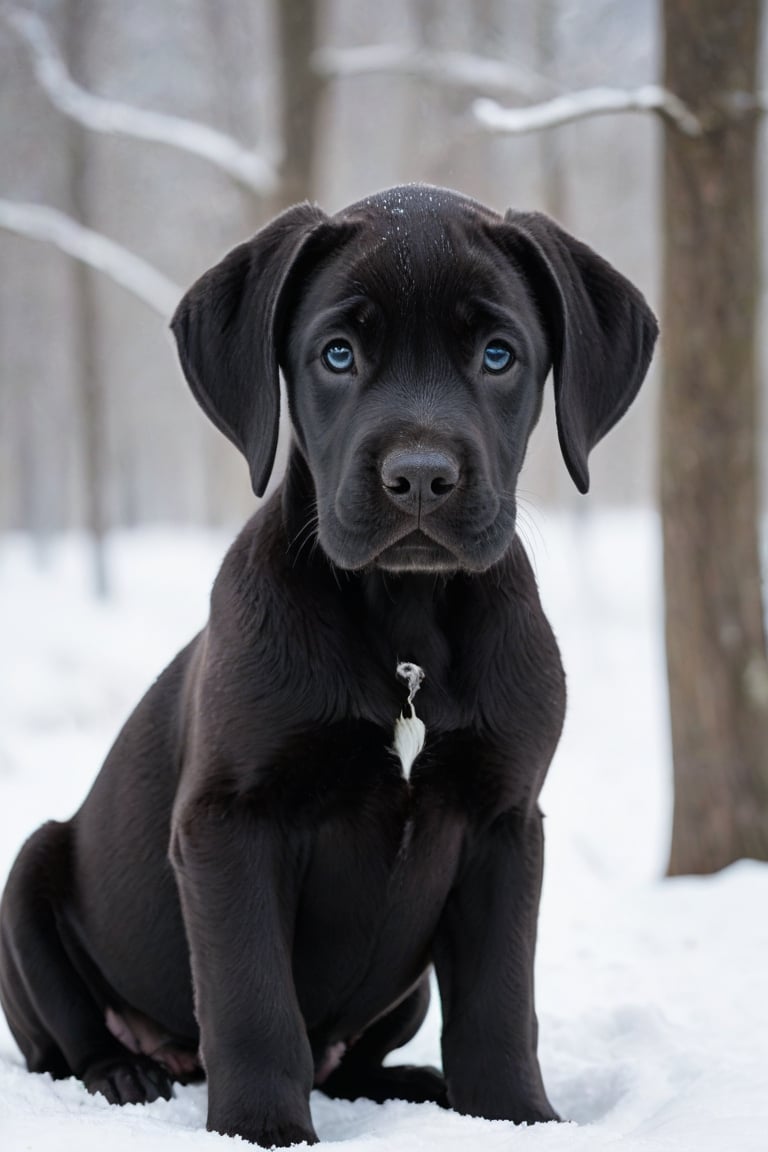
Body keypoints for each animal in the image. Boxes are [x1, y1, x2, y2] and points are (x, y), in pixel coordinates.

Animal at [1, 184, 654, 1147]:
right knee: (71, 1038)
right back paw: (124, 1072)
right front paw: (264, 1130)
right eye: (337, 354)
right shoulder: (230, 822)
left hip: (403, 991)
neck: (407, 633)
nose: (419, 477)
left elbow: (499, 1005)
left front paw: (515, 1118)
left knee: (357, 1061)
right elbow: (252, 1003)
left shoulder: (505, 822)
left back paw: (414, 1084)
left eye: (499, 356)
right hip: (30, 871)